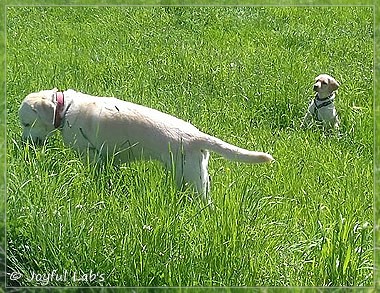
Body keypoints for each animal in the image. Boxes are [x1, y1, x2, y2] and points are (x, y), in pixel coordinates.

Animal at [19, 88, 274, 204]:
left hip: (189, 178)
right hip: (198, 175)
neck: (65, 109)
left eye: (26, 123)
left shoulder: (90, 156)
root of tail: (195, 136)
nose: (24, 144)